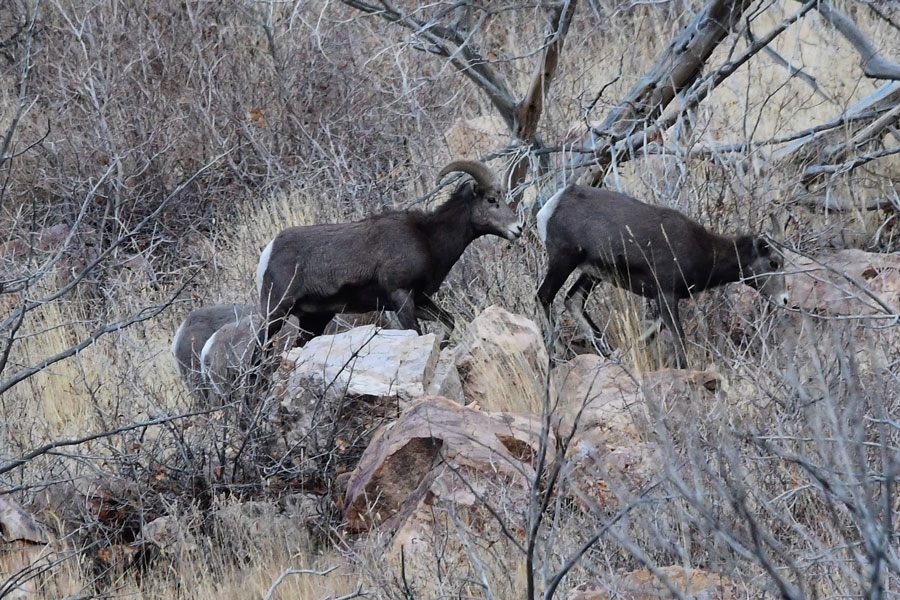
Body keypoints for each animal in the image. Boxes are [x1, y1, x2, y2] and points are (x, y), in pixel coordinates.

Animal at [256, 160, 522, 344]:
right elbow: (416, 333)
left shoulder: (419, 300)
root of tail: (269, 251)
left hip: (314, 320)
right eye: (491, 200)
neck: (427, 238)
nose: (518, 228)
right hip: (276, 313)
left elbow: (449, 321)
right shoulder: (400, 296)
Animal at [536, 185, 789, 367]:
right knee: (544, 296)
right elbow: (680, 342)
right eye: (774, 262)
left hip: (592, 274)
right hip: (564, 261)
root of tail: (550, 207)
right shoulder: (666, 295)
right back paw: (559, 353)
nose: (785, 299)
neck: (703, 252)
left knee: (573, 299)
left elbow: (647, 337)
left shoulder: (662, 301)